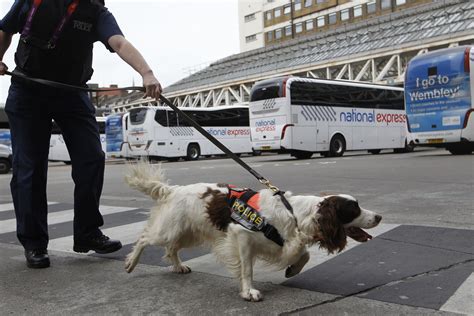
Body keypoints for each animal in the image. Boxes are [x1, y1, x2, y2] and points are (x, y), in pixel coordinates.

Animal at [123, 163, 382, 302]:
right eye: (354, 208)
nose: (379, 217)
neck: (294, 213)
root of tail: (172, 190)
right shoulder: (242, 236)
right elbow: (247, 269)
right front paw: (249, 291)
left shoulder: (282, 242)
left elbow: (304, 254)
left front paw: (293, 269)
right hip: (169, 229)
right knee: (145, 238)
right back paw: (131, 263)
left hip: (188, 233)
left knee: (171, 249)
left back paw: (177, 266)